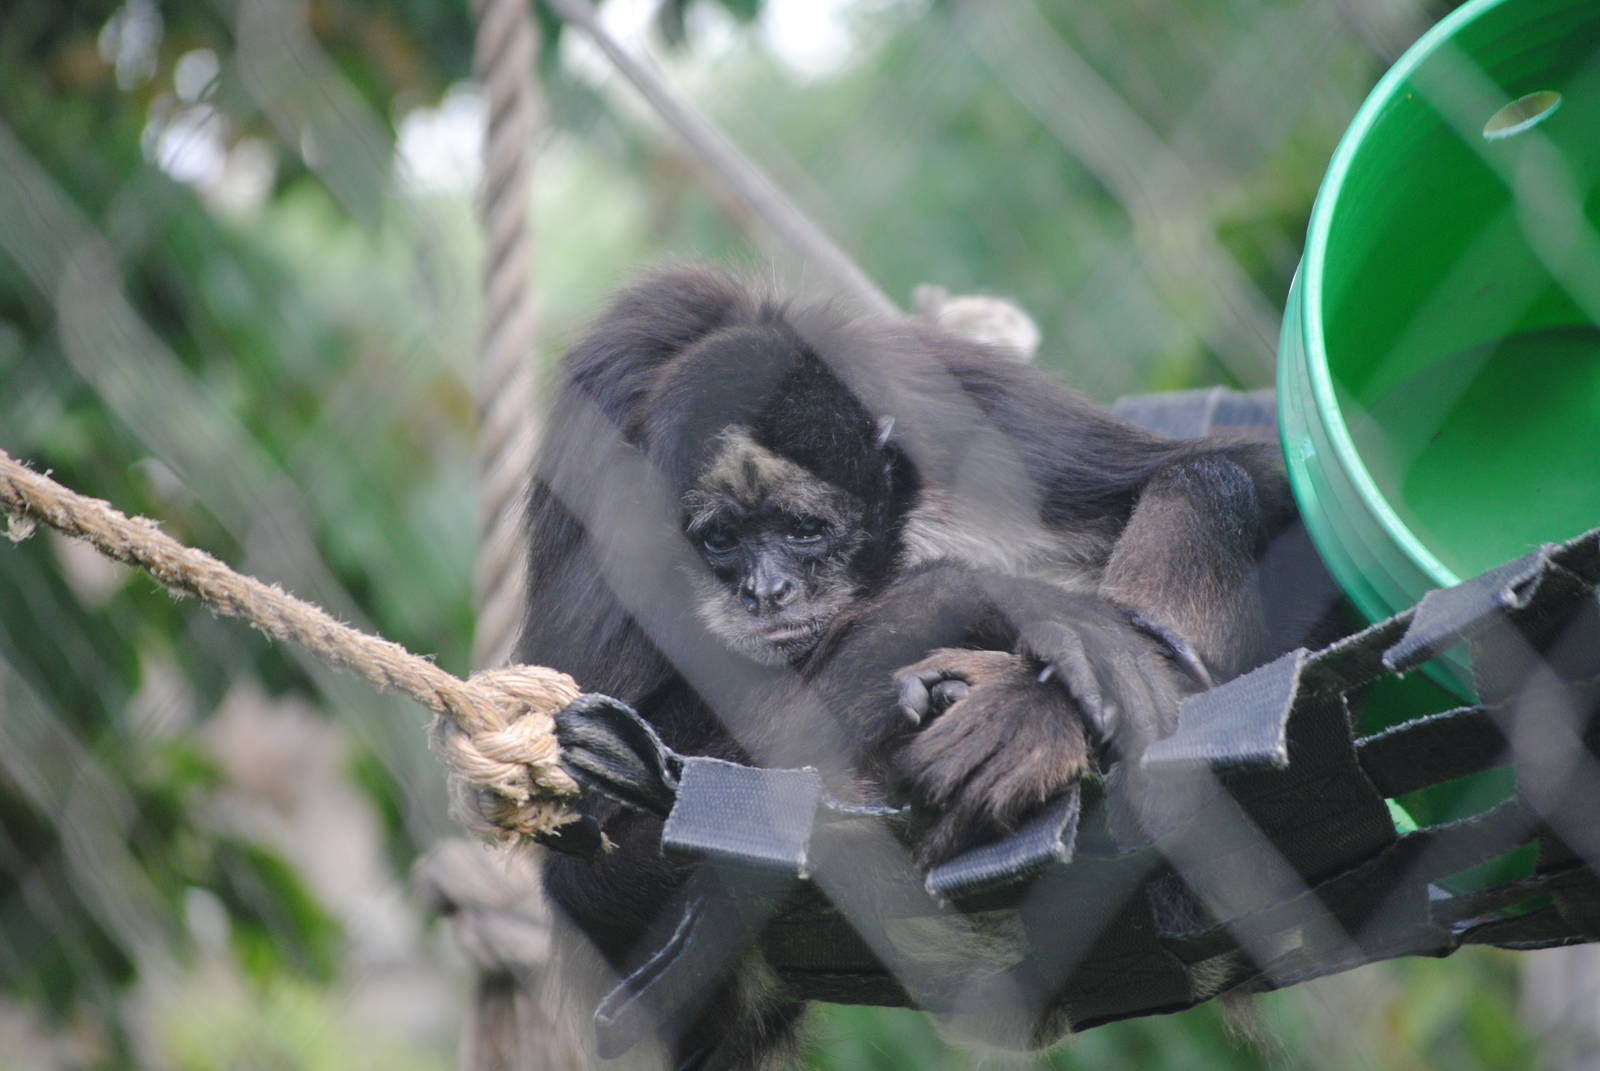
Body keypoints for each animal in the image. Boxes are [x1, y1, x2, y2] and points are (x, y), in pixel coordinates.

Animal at [519, 266, 1323, 1068]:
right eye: (721, 540)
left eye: (802, 529)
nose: (766, 592)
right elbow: (577, 866)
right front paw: (980, 603)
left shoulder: (965, 409)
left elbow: (1250, 477)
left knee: (1210, 478)